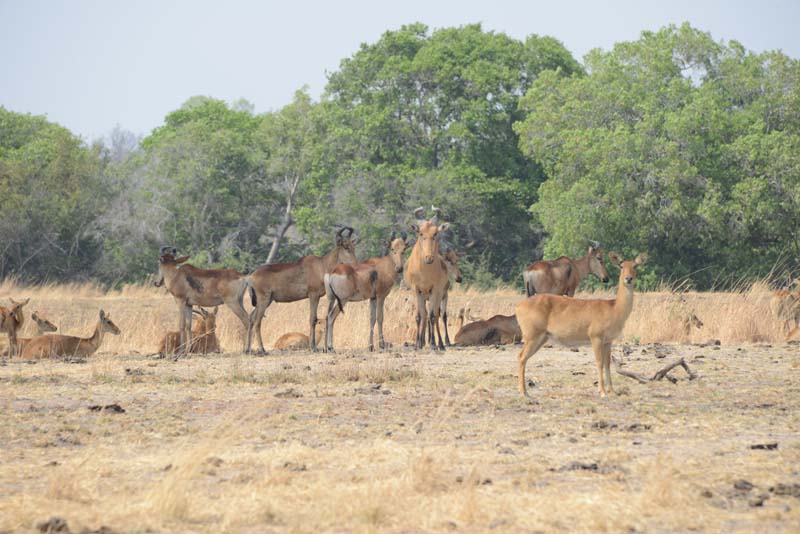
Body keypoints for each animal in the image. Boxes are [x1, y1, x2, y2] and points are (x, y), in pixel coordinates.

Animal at [245, 226, 354, 356]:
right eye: (345, 246)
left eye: (353, 246)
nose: (354, 264)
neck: (321, 265)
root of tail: (251, 277)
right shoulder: (313, 295)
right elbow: (313, 319)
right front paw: (313, 348)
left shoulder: (316, 296)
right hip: (263, 300)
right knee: (257, 321)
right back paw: (262, 350)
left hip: (266, 301)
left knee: (251, 318)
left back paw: (247, 350)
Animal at [404, 208, 454, 352]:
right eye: (421, 233)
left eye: (435, 233)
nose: (429, 258)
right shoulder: (416, 290)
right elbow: (419, 316)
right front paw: (417, 345)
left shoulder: (434, 290)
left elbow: (432, 316)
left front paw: (432, 344)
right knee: (425, 314)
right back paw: (422, 342)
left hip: (441, 295)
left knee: (437, 315)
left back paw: (441, 344)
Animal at [516, 252, 648, 398]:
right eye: (621, 266)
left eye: (635, 266)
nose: (628, 278)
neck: (614, 307)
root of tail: (518, 306)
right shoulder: (596, 337)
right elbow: (599, 362)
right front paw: (602, 391)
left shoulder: (608, 341)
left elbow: (607, 364)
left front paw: (612, 391)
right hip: (532, 336)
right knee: (521, 357)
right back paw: (523, 392)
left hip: (541, 338)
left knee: (523, 357)